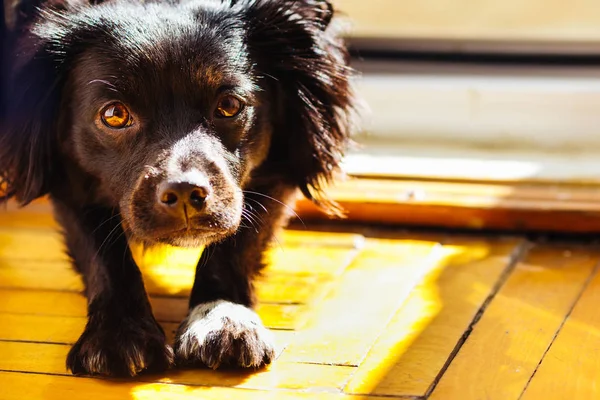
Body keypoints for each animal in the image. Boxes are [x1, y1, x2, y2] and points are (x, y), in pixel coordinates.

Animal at [0, 0, 354, 378]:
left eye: (230, 106)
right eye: (114, 115)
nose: (184, 192)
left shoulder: (277, 172)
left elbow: (234, 247)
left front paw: (221, 317)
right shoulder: (70, 179)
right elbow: (105, 257)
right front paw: (119, 332)